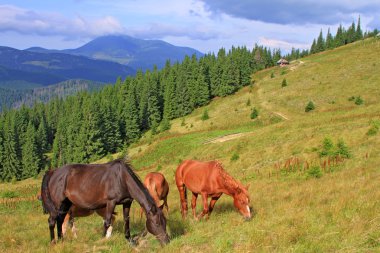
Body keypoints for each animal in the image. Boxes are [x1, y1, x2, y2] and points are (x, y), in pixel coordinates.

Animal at [40, 160, 169, 245]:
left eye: (165, 221)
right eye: (157, 223)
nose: (167, 241)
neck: (122, 178)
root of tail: (52, 172)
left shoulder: (127, 202)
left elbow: (126, 220)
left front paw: (129, 240)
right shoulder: (111, 202)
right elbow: (107, 222)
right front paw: (101, 240)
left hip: (65, 204)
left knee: (60, 220)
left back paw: (61, 240)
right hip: (57, 204)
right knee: (52, 221)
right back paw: (53, 242)